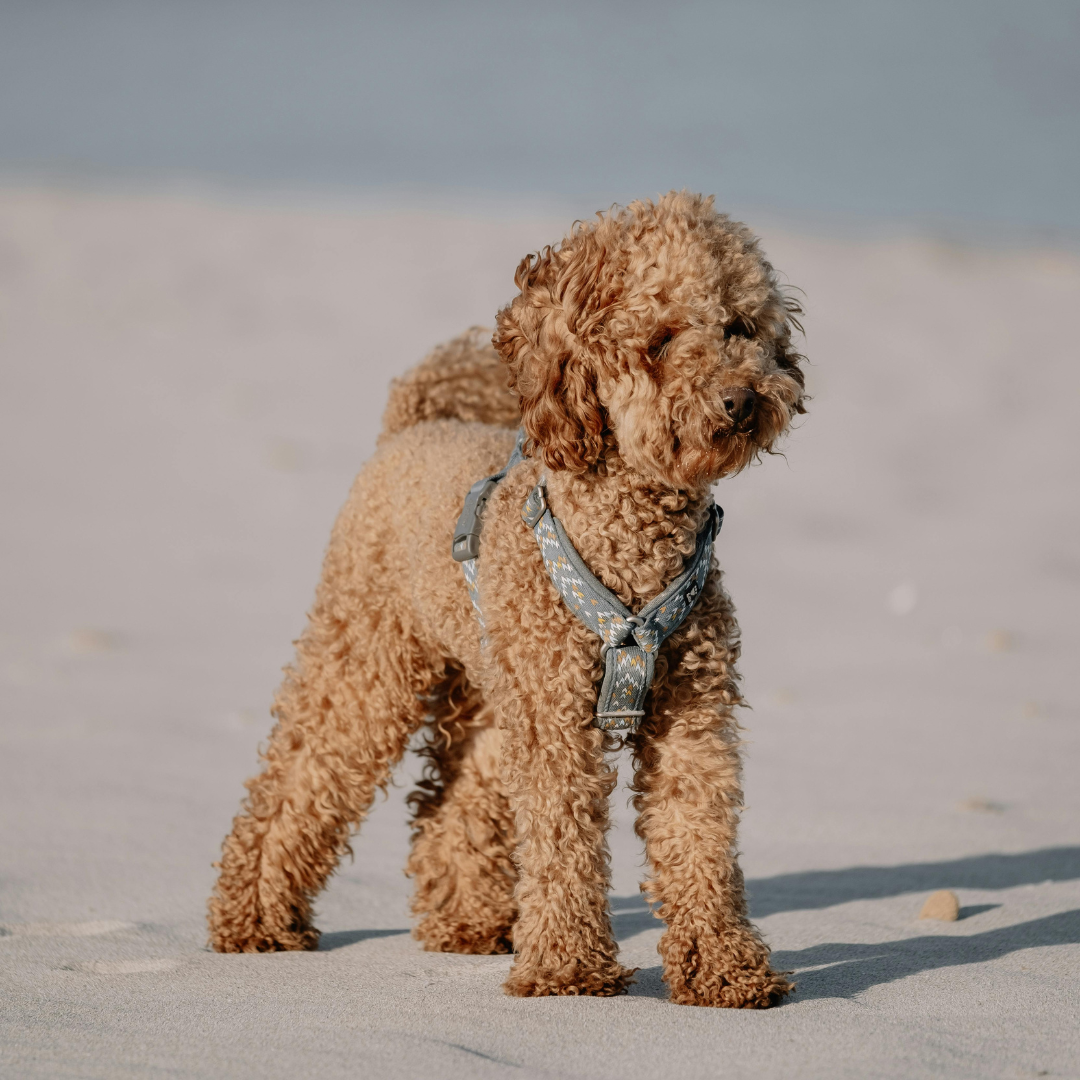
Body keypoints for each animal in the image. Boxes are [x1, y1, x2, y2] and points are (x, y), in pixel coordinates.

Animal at [208, 190, 803, 1006]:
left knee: (454, 798)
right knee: (301, 773)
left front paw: (724, 968)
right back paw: (254, 919)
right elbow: (560, 835)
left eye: (739, 327)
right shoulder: (554, 718)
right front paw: (570, 971)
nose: (742, 400)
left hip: (493, 689)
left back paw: (466, 921)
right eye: (658, 340)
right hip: (369, 657)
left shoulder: (692, 712)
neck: (632, 546)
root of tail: (417, 424)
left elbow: (699, 834)